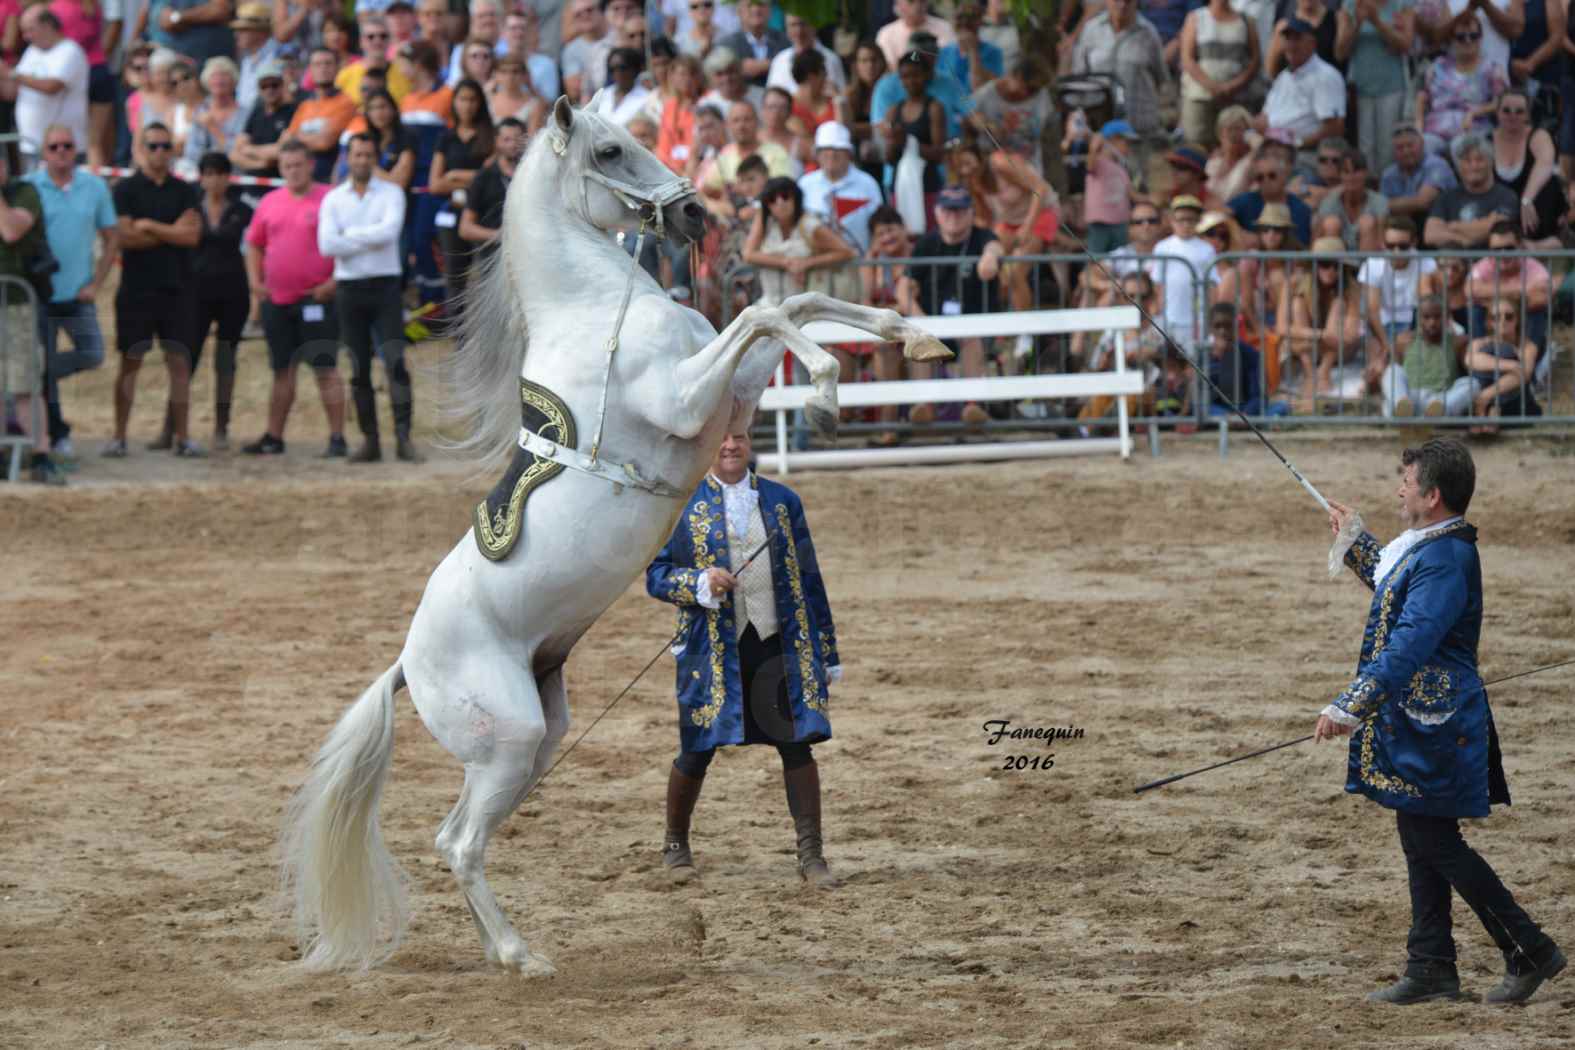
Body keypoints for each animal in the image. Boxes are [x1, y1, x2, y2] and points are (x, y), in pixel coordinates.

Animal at [280, 96, 945, 976]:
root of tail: (405, 665)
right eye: (609, 151)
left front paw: (910, 333)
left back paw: (502, 950)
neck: (596, 308)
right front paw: (831, 392)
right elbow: (765, 311)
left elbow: (791, 306)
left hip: (533, 742)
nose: (696, 215)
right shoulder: (686, 401)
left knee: (456, 837)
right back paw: (522, 955)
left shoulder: (728, 400)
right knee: (459, 844)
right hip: (511, 741)